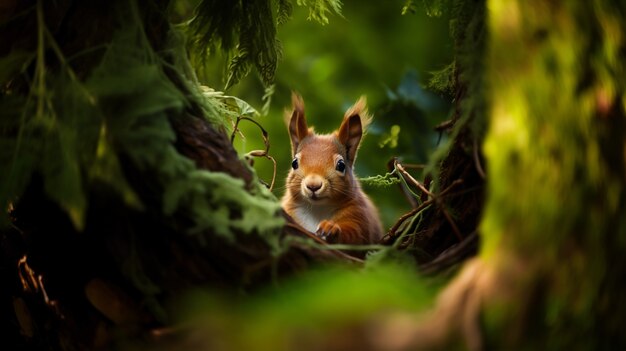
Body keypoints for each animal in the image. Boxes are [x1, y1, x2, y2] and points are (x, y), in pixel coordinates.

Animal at [282, 93, 380, 248]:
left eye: (341, 165)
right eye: (294, 163)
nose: (313, 185)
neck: (318, 209)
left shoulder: (359, 217)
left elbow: (355, 237)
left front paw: (331, 228)